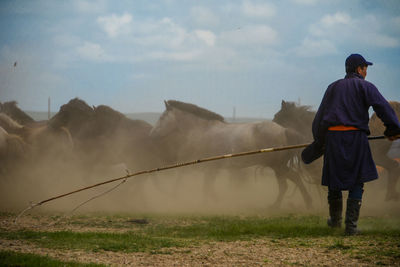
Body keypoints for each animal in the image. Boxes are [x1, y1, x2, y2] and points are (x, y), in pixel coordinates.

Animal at [150, 100, 312, 209]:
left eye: (162, 118)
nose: (152, 135)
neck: (203, 131)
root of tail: (284, 130)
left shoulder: (209, 168)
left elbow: (206, 187)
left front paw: (207, 204)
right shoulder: (211, 169)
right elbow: (208, 187)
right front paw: (213, 202)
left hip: (277, 167)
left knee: (285, 185)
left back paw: (276, 206)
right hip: (279, 167)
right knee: (295, 179)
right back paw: (307, 204)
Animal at [272, 100, 400, 201]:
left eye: (278, 116)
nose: (272, 124)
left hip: (377, 157)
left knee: (393, 167)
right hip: (379, 157)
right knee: (393, 166)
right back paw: (391, 196)